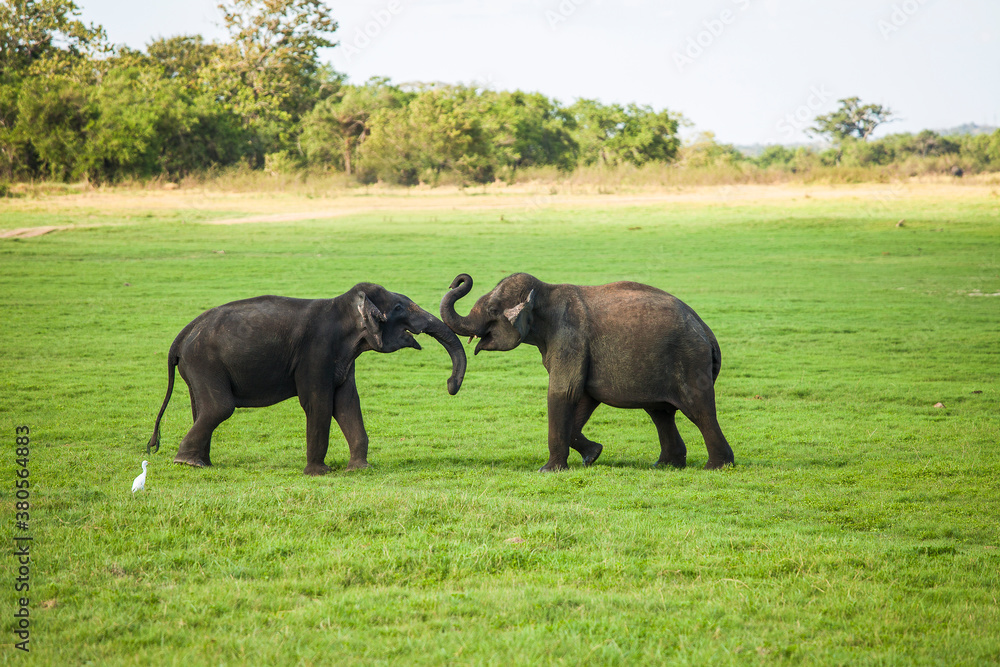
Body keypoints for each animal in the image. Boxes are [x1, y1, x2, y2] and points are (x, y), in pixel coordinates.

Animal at [146, 284, 466, 475]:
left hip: (199, 368)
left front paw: (359, 469)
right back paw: (187, 463)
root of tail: (182, 336)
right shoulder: (316, 353)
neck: (343, 305)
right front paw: (319, 473)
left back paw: (201, 463)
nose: (450, 386)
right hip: (205, 362)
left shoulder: (343, 358)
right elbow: (320, 404)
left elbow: (348, 404)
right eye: (399, 308)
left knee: (202, 408)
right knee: (219, 408)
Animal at [440, 273, 734, 472]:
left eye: (492, 310)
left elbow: (563, 392)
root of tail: (706, 331)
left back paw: (716, 467)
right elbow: (582, 397)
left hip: (690, 360)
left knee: (698, 410)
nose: (457, 281)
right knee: (660, 413)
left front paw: (547, 471)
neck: (545, 291)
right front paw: (593, 455)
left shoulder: (569, 337)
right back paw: (665, 465)